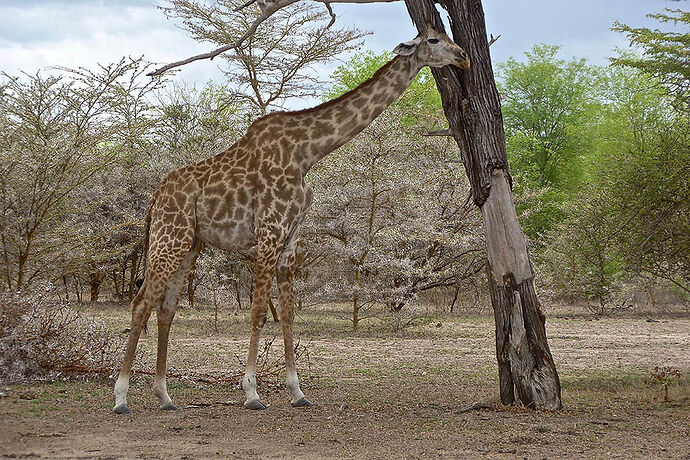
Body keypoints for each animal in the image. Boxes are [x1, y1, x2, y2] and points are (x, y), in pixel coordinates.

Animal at [113, 25, 468, 414]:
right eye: (434, 40)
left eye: (446, 35)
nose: (464, 56)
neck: (307, 153)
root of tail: (154, 198)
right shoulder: (270, 232)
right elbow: (258, 311)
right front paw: (252, 392)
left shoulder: (290, 238)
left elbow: (287, 313)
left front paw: (297, 391)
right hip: (170, 238)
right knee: (141, 303)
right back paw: (121, 396)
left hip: (190, 244)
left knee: (166, 308)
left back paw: (165, 396)